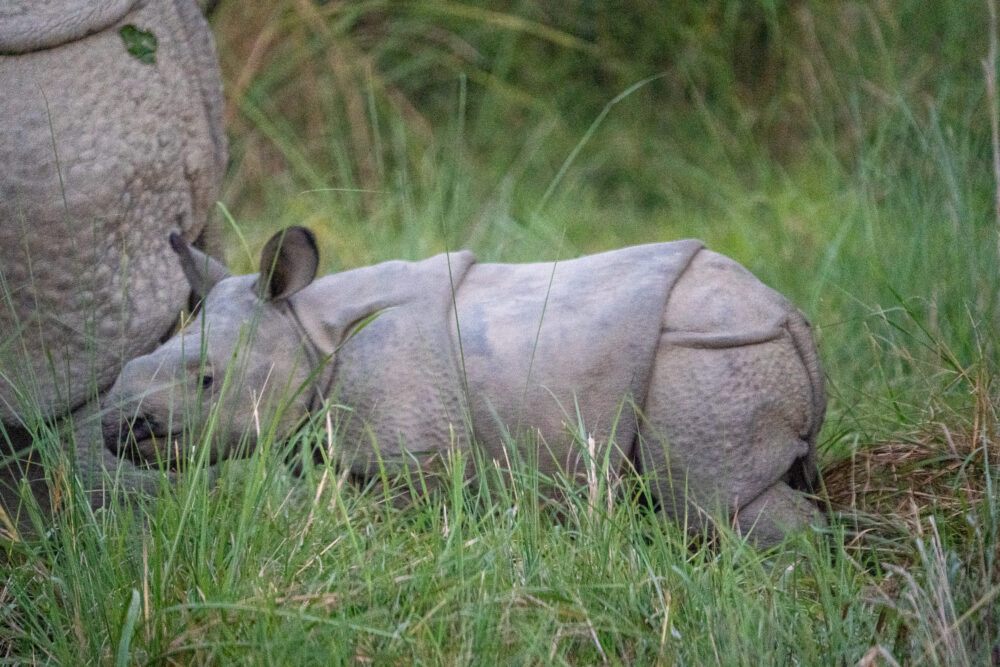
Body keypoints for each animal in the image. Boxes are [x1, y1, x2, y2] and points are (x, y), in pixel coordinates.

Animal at [103, 227, 826, 546]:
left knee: (713, 506)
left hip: (709, 354)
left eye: (206, 379)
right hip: (726, 350)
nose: (117, 428)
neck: (306, 326)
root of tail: (791, 315)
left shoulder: (405, 458)